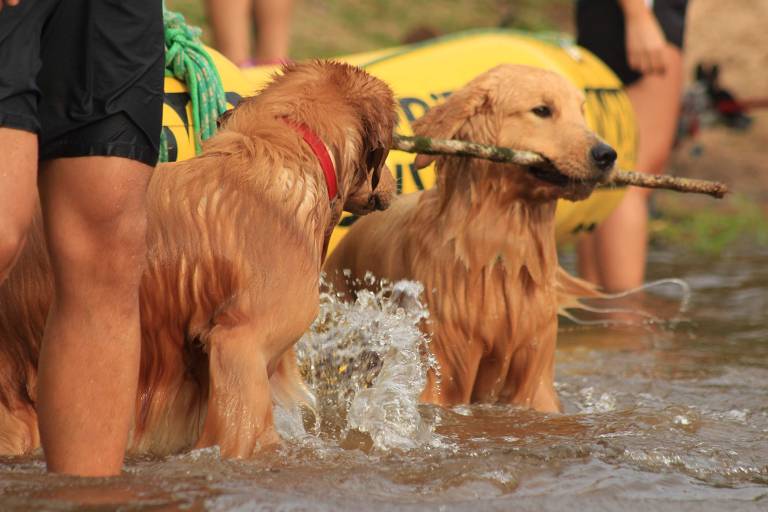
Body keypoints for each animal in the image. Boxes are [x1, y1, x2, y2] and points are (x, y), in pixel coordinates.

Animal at [326, 65, 616, 412]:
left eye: (582, 111)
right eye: (542, 110)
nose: (607, 155)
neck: (498, 252)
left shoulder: (533, 367)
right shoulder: (443, 358)